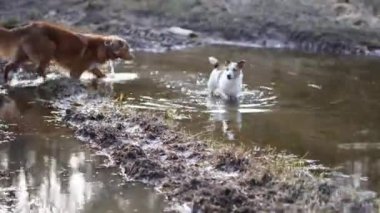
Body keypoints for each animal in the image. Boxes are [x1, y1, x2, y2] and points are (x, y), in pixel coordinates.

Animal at [0, 21, 134, 81]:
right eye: (127, 49)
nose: (133, 57)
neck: (102, 47)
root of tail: (27, 26)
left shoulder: (93, 68)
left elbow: (101, 75)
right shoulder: (76, 70)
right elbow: (75, 76)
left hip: (24, 56)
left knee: (8, 66)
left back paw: (6, 81)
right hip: (49, 47)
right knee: (39, 69)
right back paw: (47, 79)